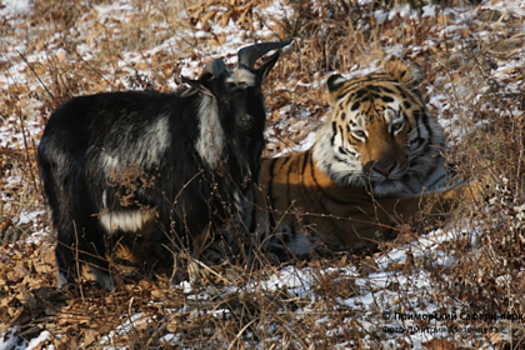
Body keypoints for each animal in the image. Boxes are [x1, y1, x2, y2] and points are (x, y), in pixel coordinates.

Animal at [36, 39, 290, 290]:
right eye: (225, 97)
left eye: (255, 90)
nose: (247, 120)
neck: (201, 136)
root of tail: (47, 136)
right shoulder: (178, 206)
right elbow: (182, 251)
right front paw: (180, 284)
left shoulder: (203, 211)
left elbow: (194, 252)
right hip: (70, 208)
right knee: (67, 250)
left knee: (93, 250)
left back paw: (112, 286)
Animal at [248, 62, 476, 260]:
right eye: (359, 133)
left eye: (396, 126)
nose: (384, 169)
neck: (415, 180)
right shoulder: (371, 214)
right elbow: (437, 199)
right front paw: (479, 186)